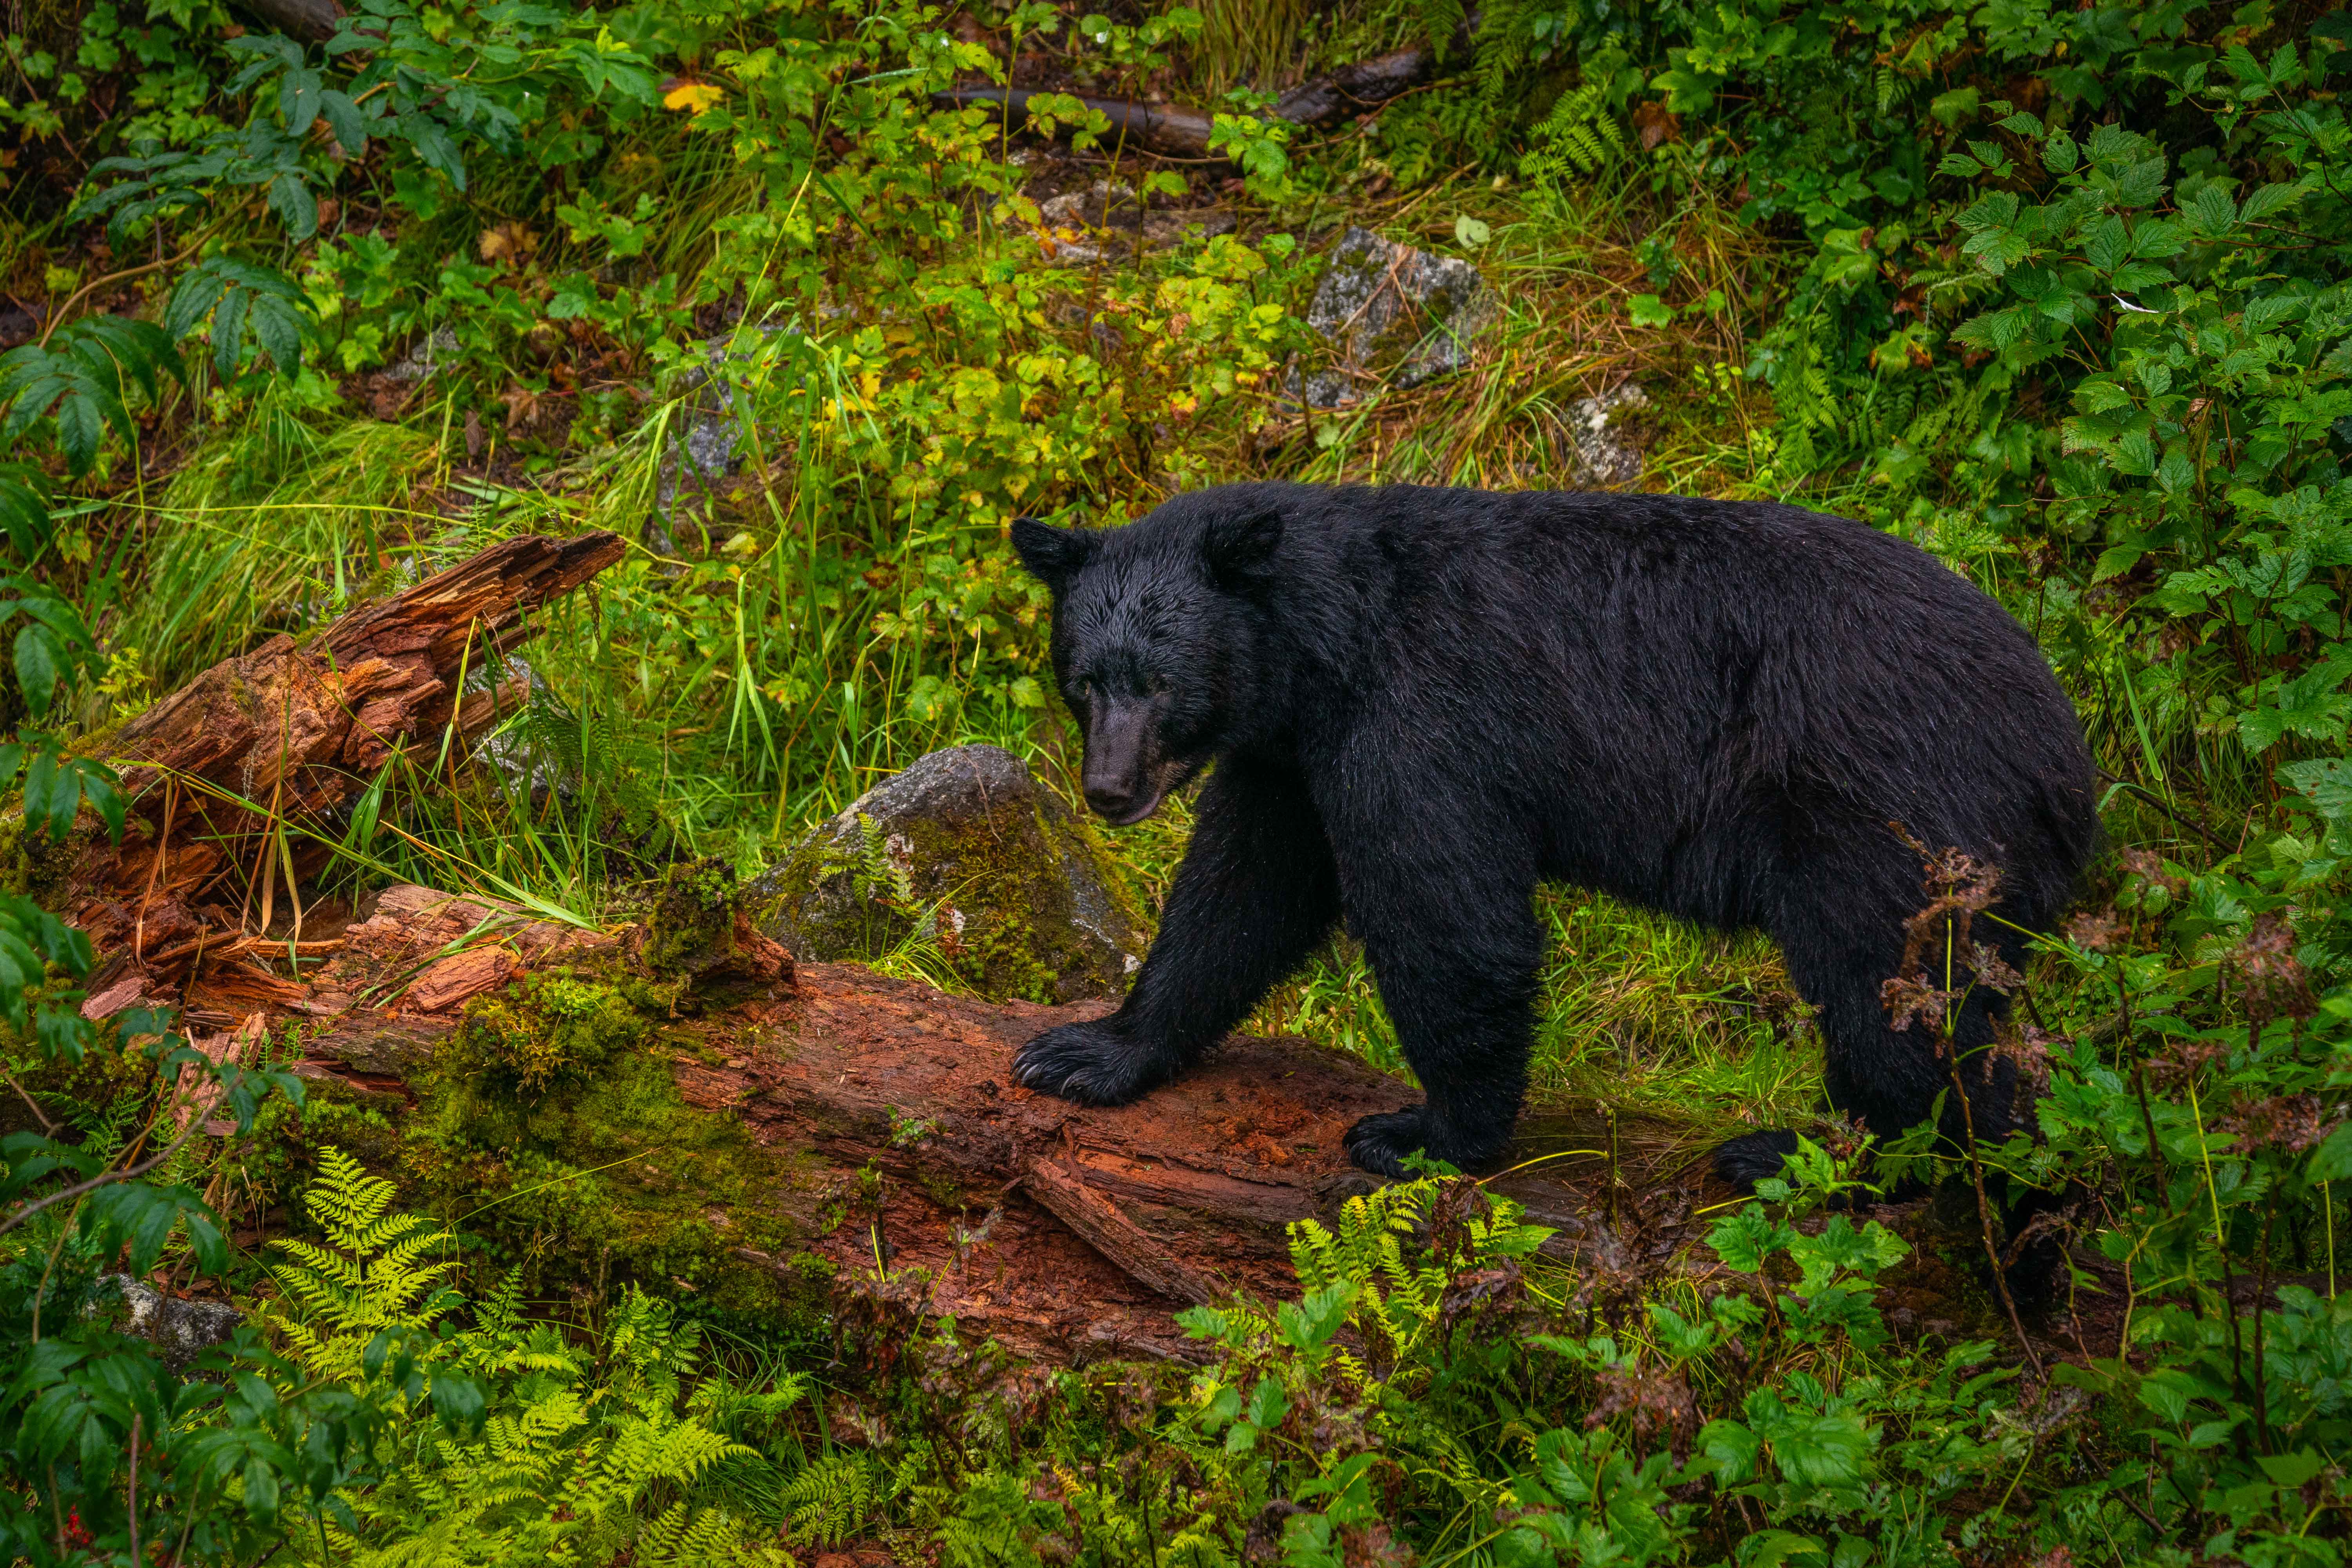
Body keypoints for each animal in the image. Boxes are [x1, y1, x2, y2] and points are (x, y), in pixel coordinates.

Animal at [1006, 482, 2098, 1188]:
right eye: (1085, 678)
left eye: (1162, 682)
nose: (1108, 789)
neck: (1331, 642)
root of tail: (2067, 762)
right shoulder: (1291, 757)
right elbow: (1241, 893)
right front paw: (1090, 1050)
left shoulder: (1420, 719)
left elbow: (1447, 916)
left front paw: (1425, 1133)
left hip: (1890, 818)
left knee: (1891, 993)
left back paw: (1827, 1154)